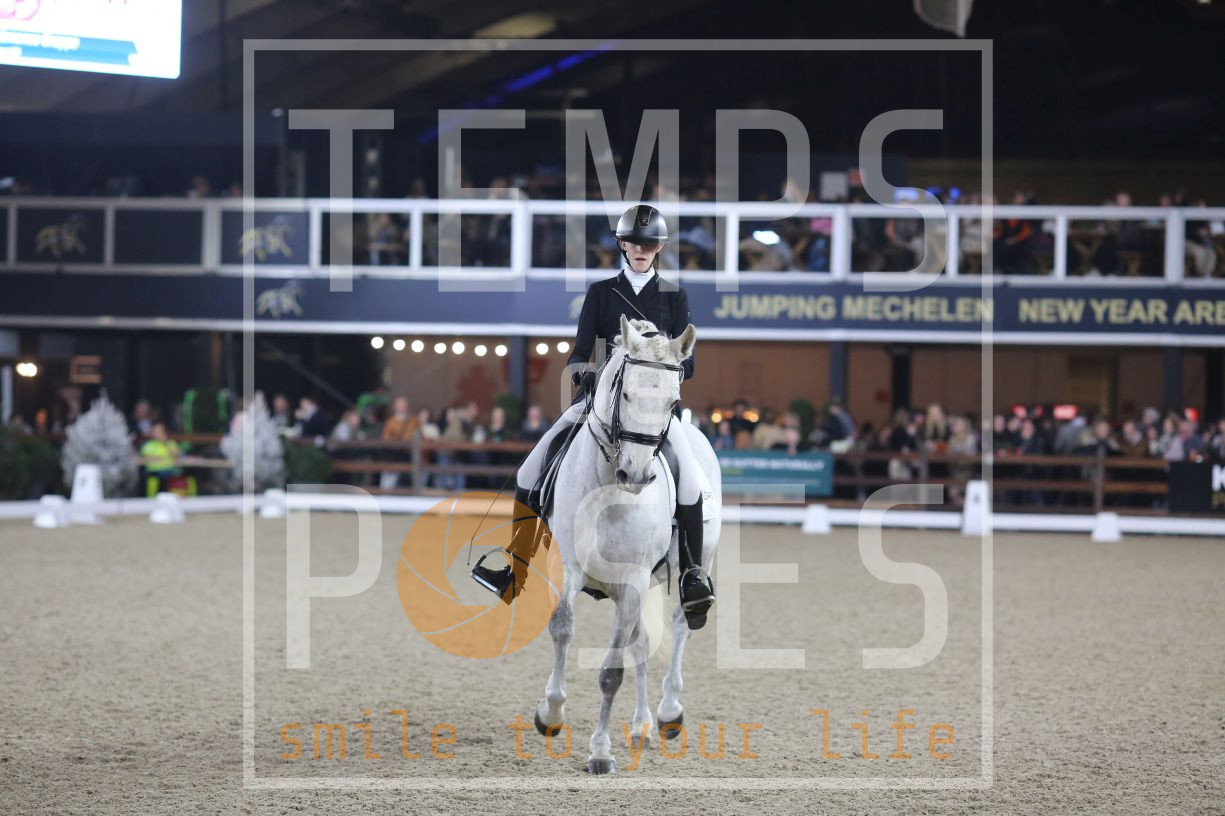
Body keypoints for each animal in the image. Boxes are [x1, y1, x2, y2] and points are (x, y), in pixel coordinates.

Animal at [532, 315, 722, 775]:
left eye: (673, 402)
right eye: (627, 392)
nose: (635, 475)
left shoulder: (633, 583)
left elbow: (611, 672)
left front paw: (600, 752)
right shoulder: (568, 568)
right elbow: (562, 628)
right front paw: (550, 713)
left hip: (692, 566)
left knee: (679, 625)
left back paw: (668, 712)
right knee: (641, 642)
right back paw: (640, 725)